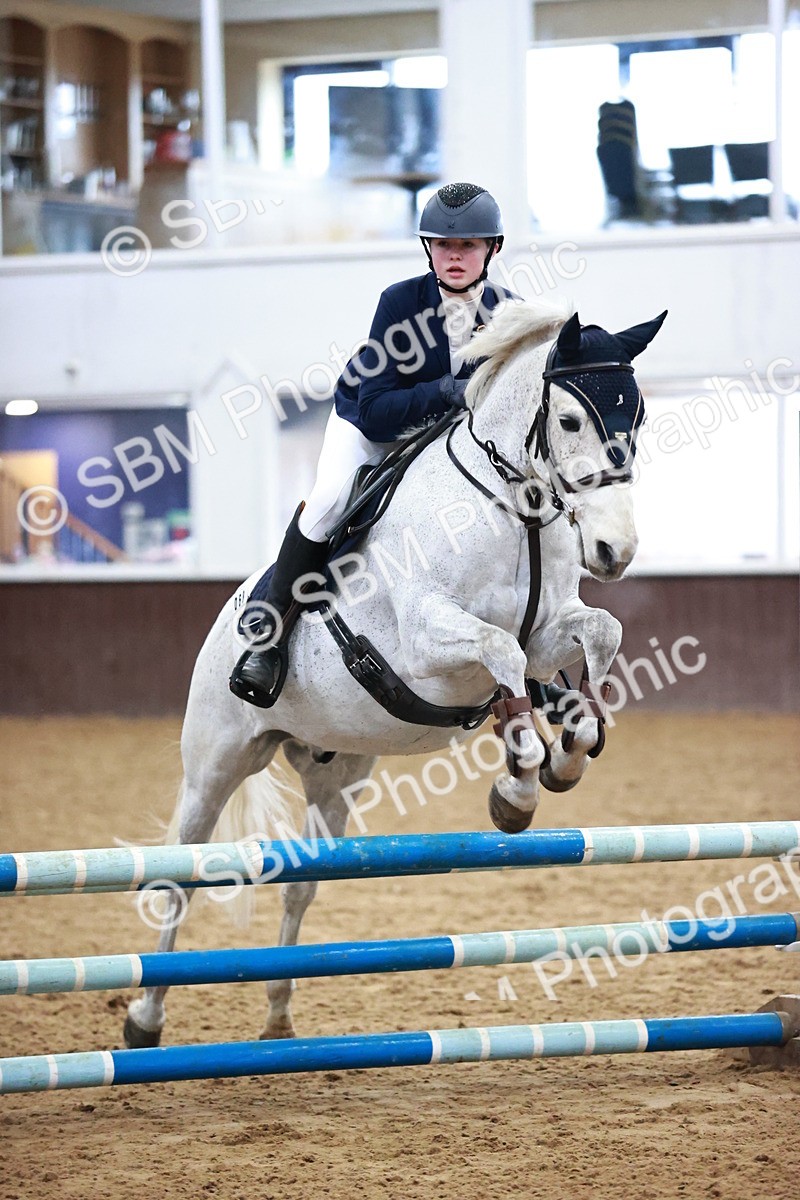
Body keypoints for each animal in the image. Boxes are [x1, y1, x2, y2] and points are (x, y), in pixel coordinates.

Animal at [124, 297, 666, 1048]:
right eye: (568, 421)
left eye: (636, 417)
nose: (617, 549)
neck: (513, 508)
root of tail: (227, 616)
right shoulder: (425, 646)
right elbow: (502, 652)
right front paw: (518, 788)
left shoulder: (550, 628)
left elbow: (595, 634)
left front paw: (569, 749)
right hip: (217, 759)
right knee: (180, 874)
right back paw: (145, 1019)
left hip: (338, 772)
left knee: (301, 883)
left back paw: (278, 1015)